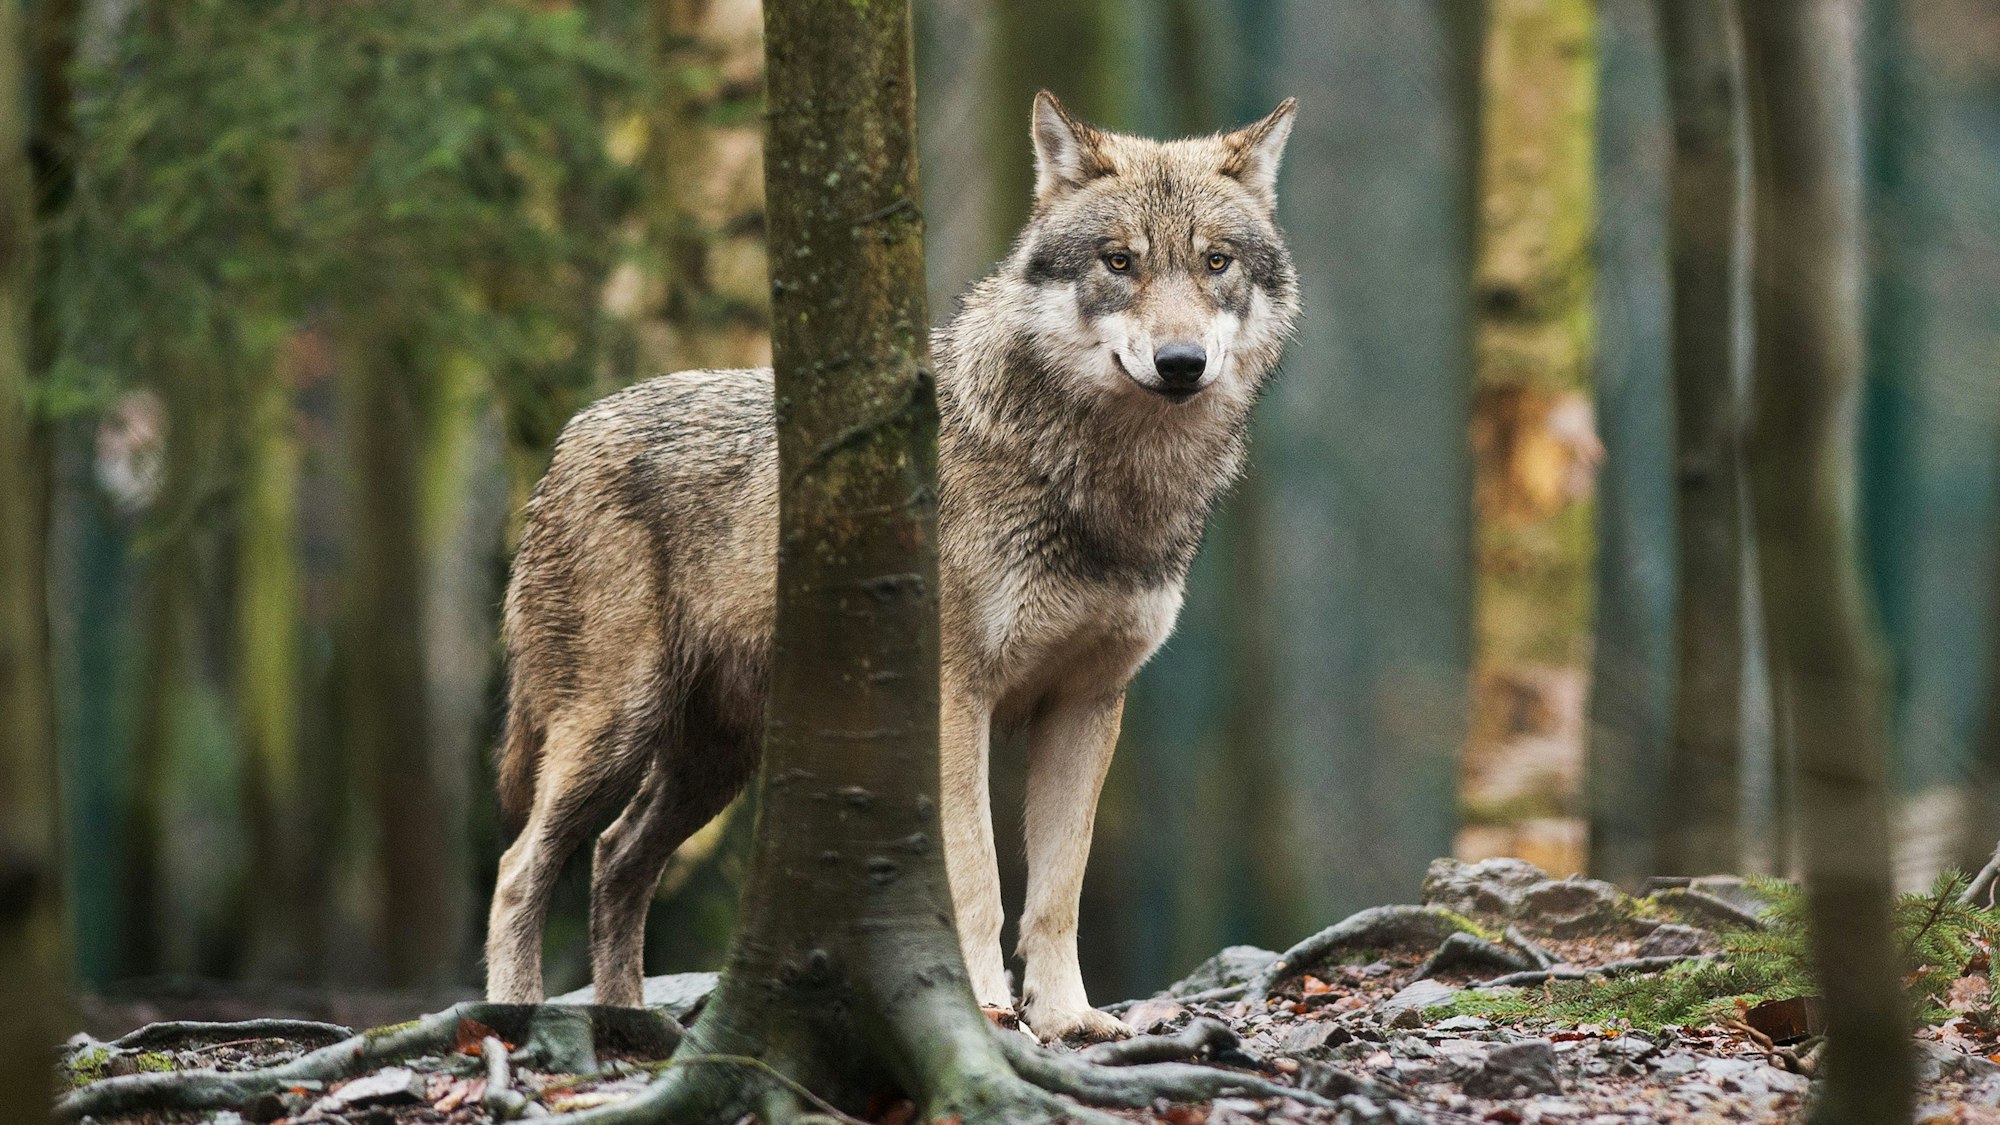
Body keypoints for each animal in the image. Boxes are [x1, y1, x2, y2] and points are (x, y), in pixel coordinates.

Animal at [484, 91, 1300, 1042]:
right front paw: (984, 1007)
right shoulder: (955, 697)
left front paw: (1069, 1018)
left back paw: (628, 1025)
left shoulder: (1088, 702)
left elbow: (1058, 890)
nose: (1180, 363)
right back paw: (515, 1018)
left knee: (615, 860)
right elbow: (978, 879)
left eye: (1216, 262)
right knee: (520, 867)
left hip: (713, 762)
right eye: (1119, 261)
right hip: (615, 730)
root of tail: (569, 437)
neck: (1102, 485)